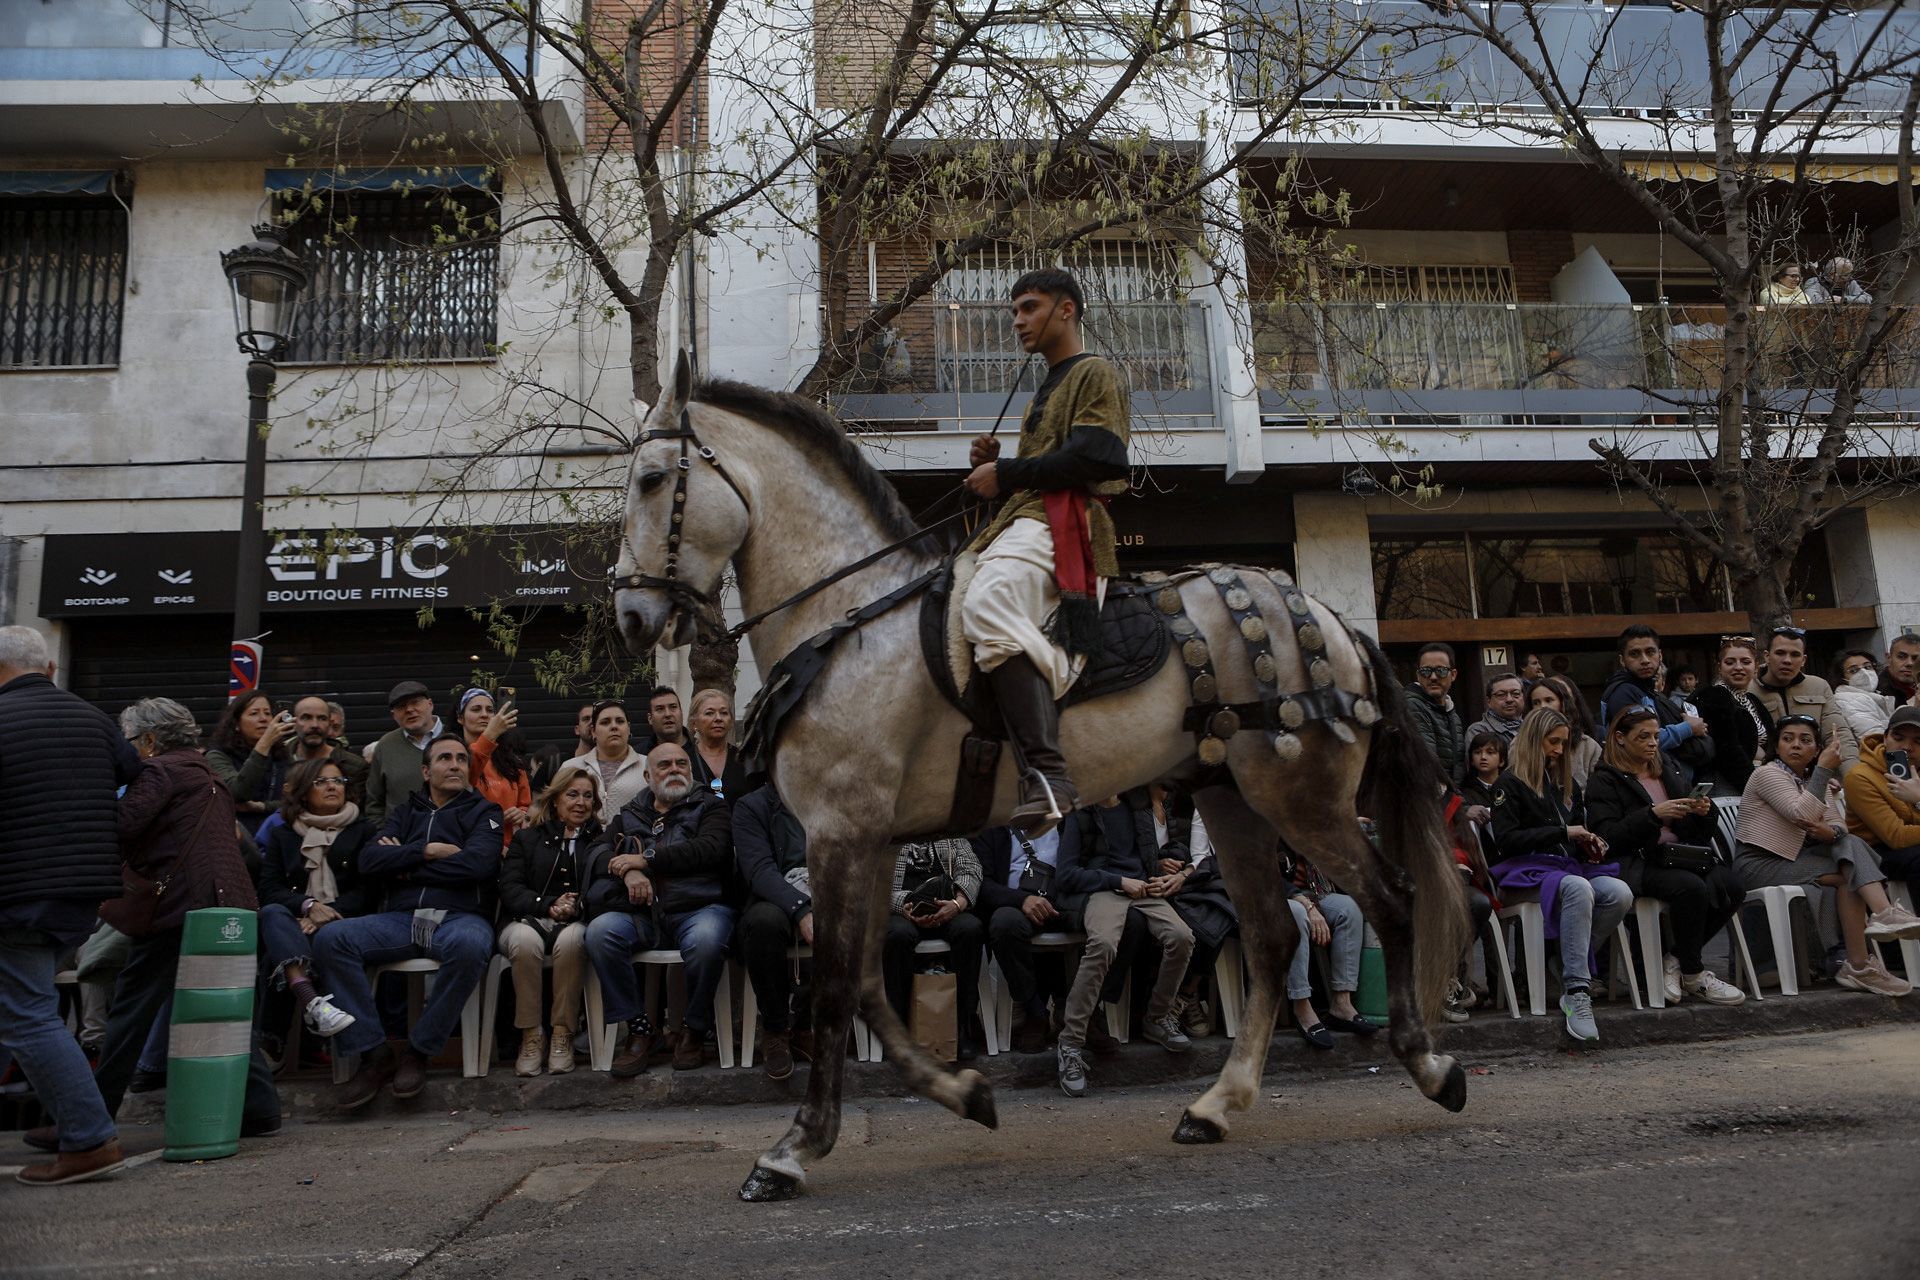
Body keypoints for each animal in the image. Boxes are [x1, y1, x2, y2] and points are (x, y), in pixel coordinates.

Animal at [614, 358, 1466, 1205]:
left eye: (653, 479)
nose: (628, 616)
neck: (849, 620)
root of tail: (1329, 618)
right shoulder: (869, 840)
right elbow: (866, 984)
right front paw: (963, 1092)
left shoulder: (841, 832)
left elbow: (831, 988)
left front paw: (795, 1147)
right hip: (1234, 800)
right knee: (1272, 936)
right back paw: (1217, 1105)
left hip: (1303, 798)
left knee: (1391, 899)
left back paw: (1430, 1065)